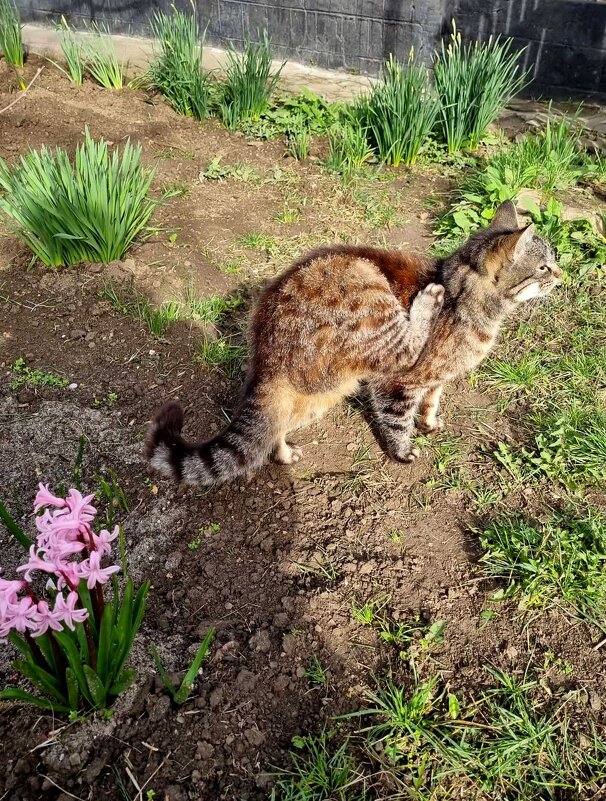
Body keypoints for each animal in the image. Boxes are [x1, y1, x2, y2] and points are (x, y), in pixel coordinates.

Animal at [147, 203, 560, 484]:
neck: (471, 304)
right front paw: (404, 448)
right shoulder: (399, 382)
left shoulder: (435, 379)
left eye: (553, 261)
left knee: (273, 427)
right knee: (405, 338)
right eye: (544, 267)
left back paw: (282, 452)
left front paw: (430, 421)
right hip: (368, 295)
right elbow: (398, 420)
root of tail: (265, 338)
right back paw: (427, 301)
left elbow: (432, 400)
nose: (562, 273)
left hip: (323, 390)